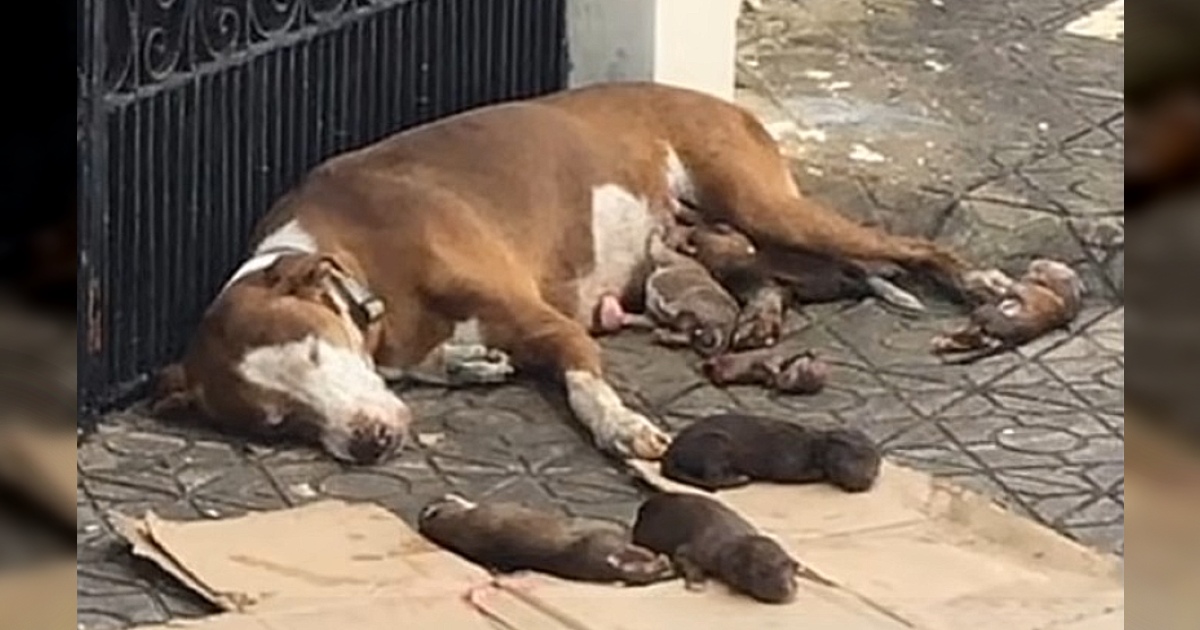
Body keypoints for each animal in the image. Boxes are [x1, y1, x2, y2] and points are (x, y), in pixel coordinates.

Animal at [628, 489, 835, 602]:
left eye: (790, 569)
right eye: (762, 572)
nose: (786, 588)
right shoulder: (691, 549)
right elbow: (686, 558)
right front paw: (697, 582)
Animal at [657, 415, 883, 494]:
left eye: (875, 467)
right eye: (855, 457)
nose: (864, 479)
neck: (813, 446)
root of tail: (670, 453)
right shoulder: (788, 461)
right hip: (715, 443)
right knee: (712, 478)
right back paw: (739, 478)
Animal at [926, 258, 1089, 360]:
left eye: (1045, 265)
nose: (1035, 262)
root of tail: (1008, 339)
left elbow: (1008, 287)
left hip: (983, 316)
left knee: (966, 332)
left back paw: (942, 340)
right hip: (981, 332)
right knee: (967, 339)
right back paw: (941, 342)